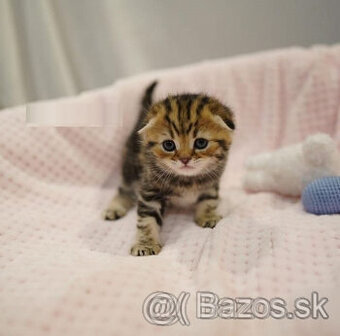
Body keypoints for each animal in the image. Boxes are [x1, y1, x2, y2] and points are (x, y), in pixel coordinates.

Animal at [103, 81, 235, 255]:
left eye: (201, 143)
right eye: (169, 145)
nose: (185, 159)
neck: (187, 180)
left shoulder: (211, 182)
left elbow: (208, 200)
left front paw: (207, 216)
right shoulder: (150, 190)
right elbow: (147, 219)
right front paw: (146, 244)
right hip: (131, 166)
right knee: (124, 188)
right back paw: (114, 208)